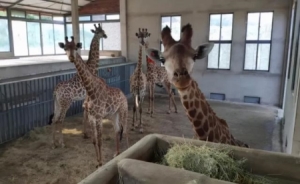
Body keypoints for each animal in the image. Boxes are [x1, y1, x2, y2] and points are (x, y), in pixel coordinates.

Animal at [63, 36, 129, 168]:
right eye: (65, 48)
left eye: (76, 47)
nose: (71, 57)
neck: (91, 90)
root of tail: (124, 95)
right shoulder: (91, 118)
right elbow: (94, 141)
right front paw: (97, 162)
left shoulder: (98, 118)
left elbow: (100, 141)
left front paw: (101, 162)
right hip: (113, 115)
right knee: (117, 130)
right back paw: (117, 153)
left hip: (123, 111)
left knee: (126, 131)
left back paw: (129, 150)